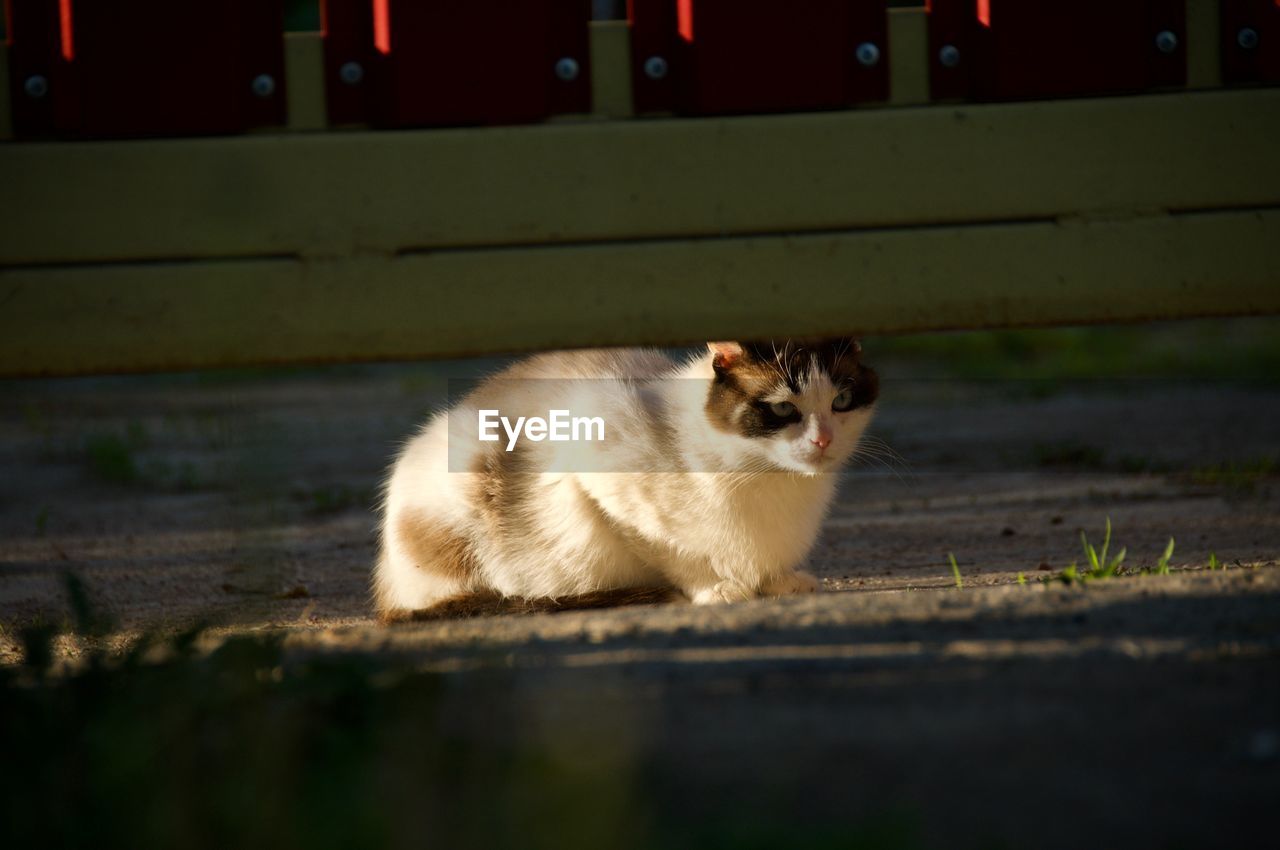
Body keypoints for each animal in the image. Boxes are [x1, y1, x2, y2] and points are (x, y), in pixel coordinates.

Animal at [373, 335, 880, 622]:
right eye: (782, 409)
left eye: (842, 401)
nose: (823, 440)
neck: (769, 478)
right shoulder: (598, 478)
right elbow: (675, 554)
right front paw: (714, 588)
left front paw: (778, 581)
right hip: (465, 455)